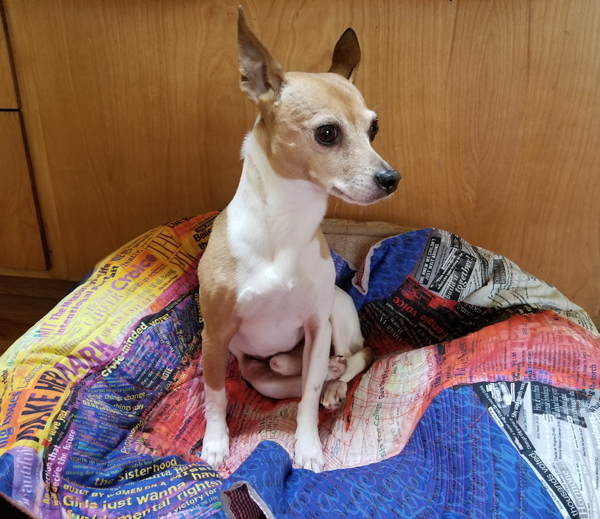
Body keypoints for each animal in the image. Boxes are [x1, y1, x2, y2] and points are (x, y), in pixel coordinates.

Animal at [197, 8, 400, 474]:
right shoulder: (214, 337)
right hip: (260, 374)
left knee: (354, 358)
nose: (391, 178)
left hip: (337, 318)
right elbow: (215, 397)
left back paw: (335, 382)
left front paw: (308, 449)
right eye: (327, 133)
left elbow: (306, 400)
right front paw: (215, 443)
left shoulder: (316, 326)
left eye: (374, 128)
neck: (287, 224)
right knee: (286, 370)